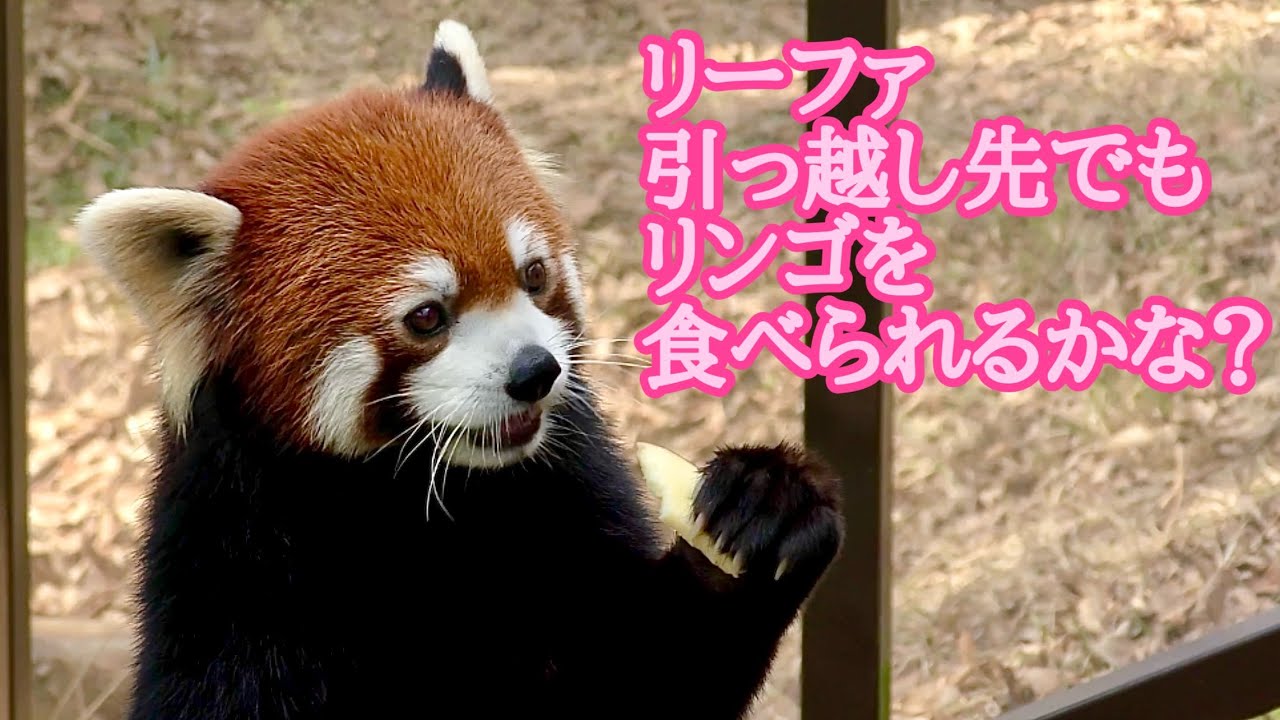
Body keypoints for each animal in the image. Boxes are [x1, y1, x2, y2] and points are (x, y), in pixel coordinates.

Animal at [76, 20, 846, 720]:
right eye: (426, 316)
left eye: (533, 275)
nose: (535, 373)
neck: (434, 508)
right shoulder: (233, 574)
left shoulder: (568, 496)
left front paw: (766, 505)